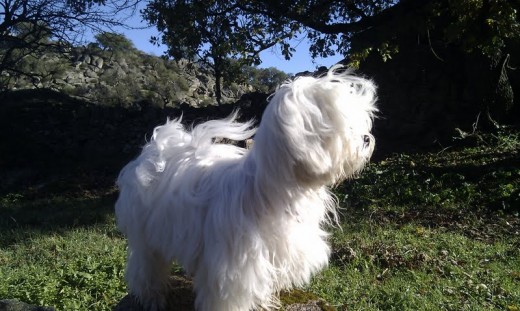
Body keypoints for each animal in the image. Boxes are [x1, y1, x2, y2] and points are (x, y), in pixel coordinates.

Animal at [116, 66, 378, 311]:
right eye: (342, 125)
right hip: (146, 235)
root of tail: (157, 151)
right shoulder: (235, 267)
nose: (367, 138)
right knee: (146, 267)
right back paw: (152, 297)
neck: (271, 192)